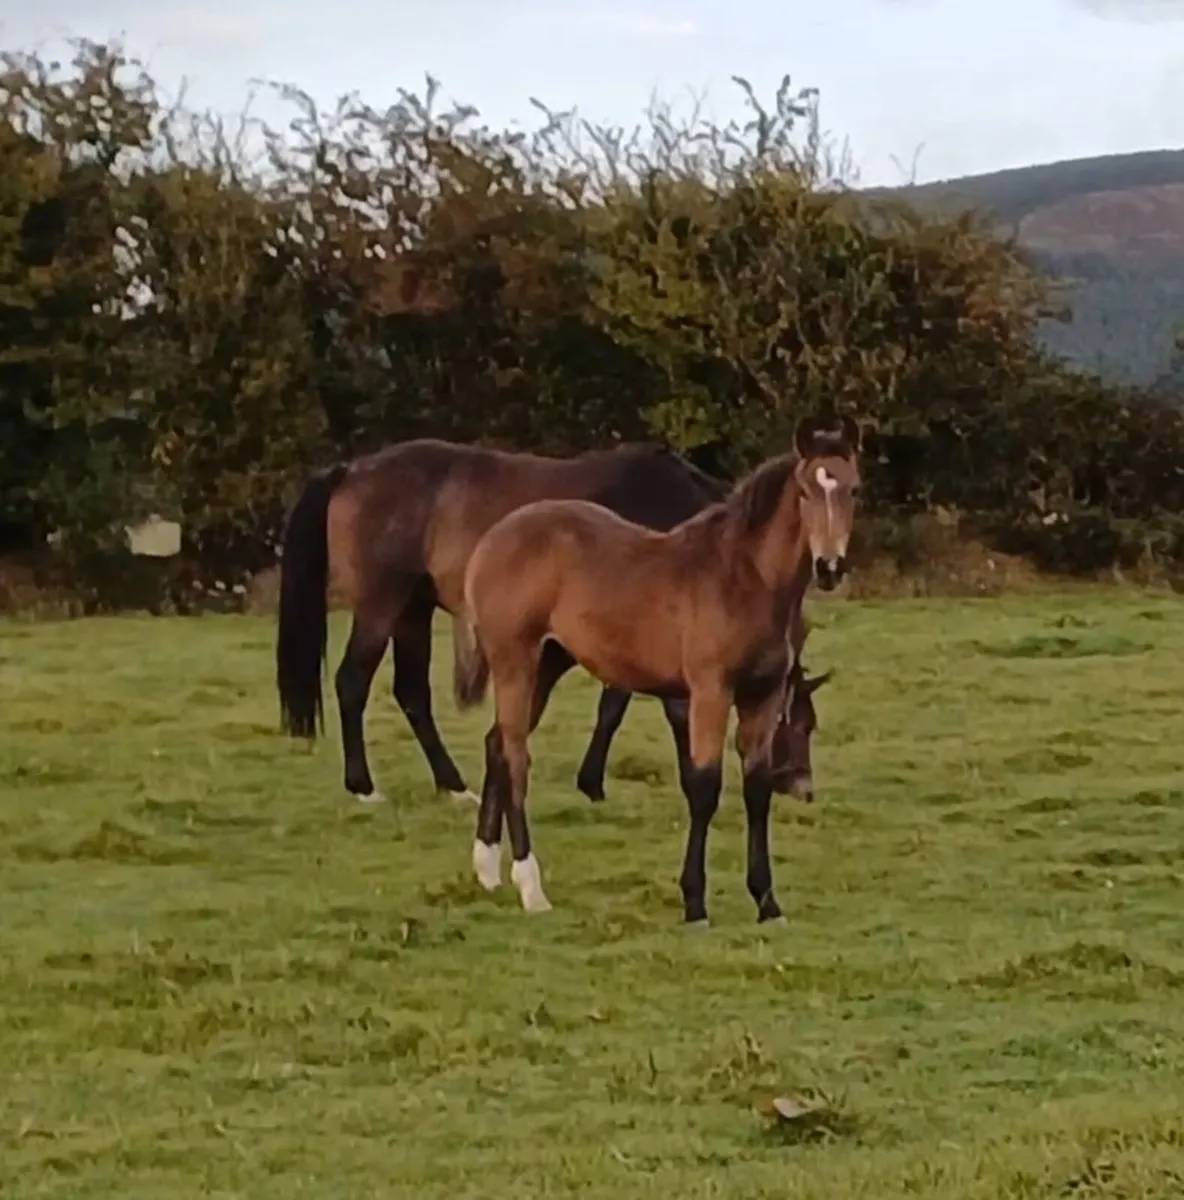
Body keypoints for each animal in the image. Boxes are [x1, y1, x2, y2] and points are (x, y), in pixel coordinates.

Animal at [273, 437, 821, 806]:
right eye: (799, 723)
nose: (802, 786)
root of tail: (352, 470)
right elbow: (623, 707)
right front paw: (597, 782)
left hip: (413, 609)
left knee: (412, 693)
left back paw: (453, 784)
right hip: (382, 604)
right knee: (352, 682)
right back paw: (363, 785)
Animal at [454, 415, 861, 924]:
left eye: (854, 489)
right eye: (806, 491)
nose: (829, 567)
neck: (743, 578)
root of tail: (493, 539)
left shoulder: (761, 697)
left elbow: (756, 789)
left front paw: (767, 902)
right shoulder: (708, 691)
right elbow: (704, 786)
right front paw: (695, 903)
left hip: (547, 664)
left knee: (497, 743)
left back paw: (487, 869)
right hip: (515, 660)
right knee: (514, 757)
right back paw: (532, 888)